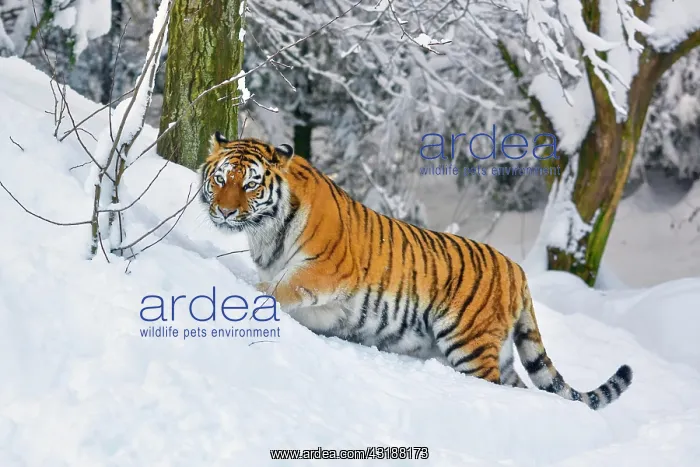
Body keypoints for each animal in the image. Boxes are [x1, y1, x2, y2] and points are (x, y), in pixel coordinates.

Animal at [200, 132, 633, 410]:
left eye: (251, 185)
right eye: (220, 179)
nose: (224, 211)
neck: (264, 231)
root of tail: (518, 269)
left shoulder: (324, 272)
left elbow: (276, 289)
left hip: (469, 343)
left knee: (493, 385)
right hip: (500, 350)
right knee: (522, 386)